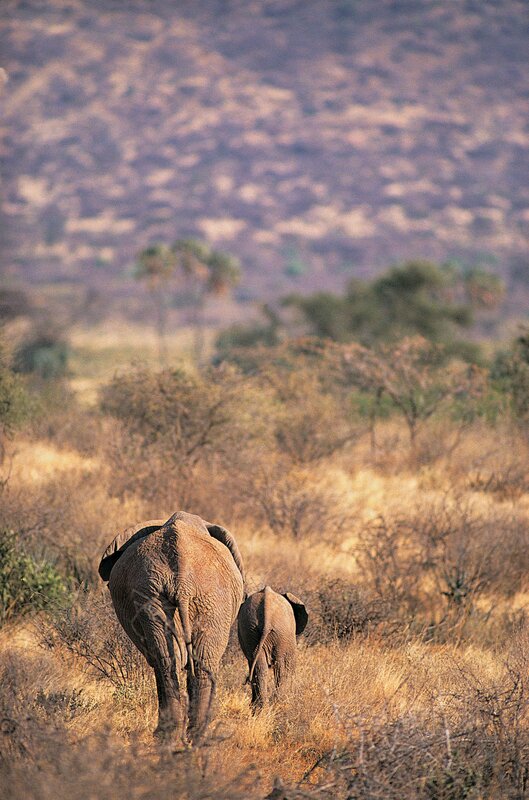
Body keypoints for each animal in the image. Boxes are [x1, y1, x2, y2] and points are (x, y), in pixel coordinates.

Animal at [98, 510, 245, 746]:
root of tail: (182, 579)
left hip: (181, 596)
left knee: (173, 661)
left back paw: (182, 737)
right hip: (169, 595)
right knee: (181, 662)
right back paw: (188, 737)